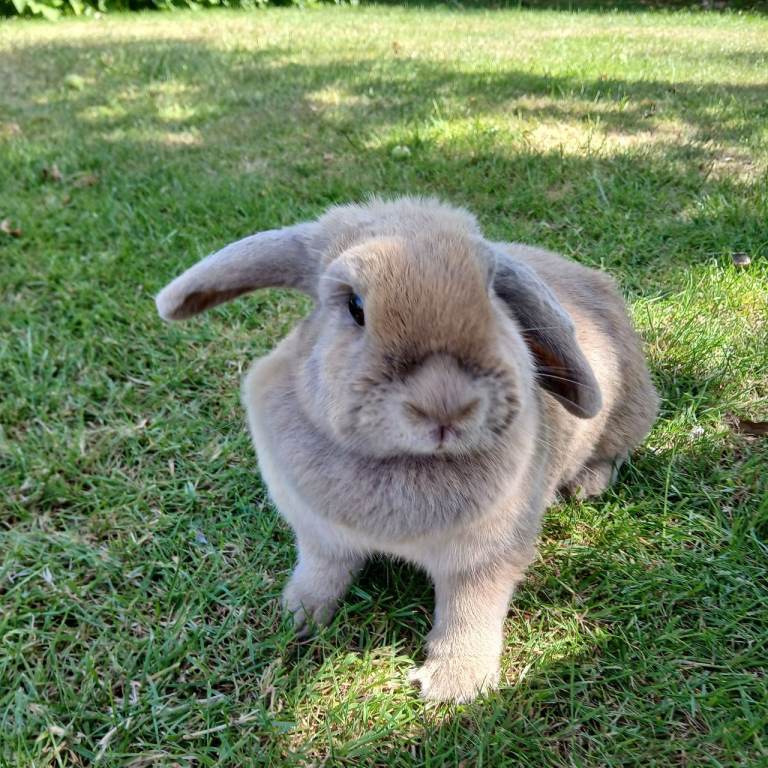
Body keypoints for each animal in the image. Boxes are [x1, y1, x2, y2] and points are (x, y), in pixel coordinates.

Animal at [156, 197, 658, 703]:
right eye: (355, 306)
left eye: (491, 292)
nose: (446, 405)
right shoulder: (320, 536)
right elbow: (322, 572)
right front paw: (298, 615)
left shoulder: (483, 562)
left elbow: (468, 615)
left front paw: (454, 686)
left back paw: (587, 485)